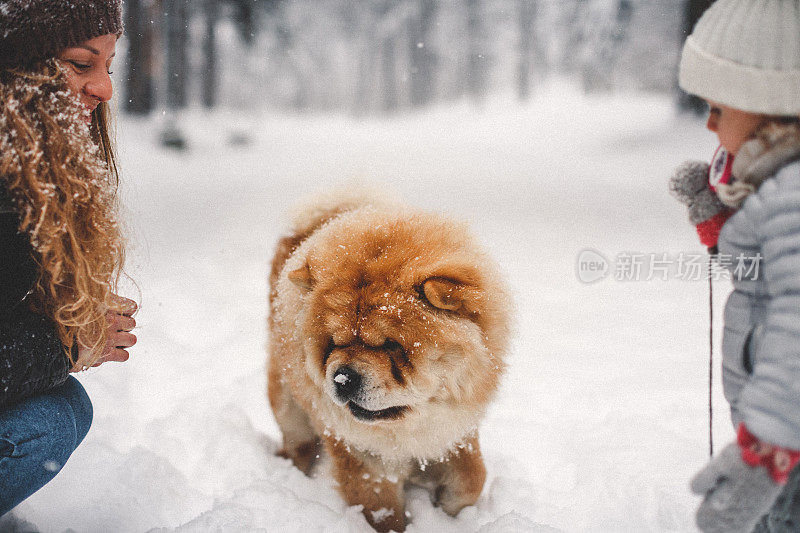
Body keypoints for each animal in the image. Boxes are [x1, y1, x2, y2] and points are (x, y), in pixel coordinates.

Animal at [266, 189, 510, 528]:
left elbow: (471, 479)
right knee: (296, 440)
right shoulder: (364, 457)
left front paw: (450, 510)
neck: (408, 430)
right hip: (287, 400)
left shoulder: (454, 430)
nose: (342, 378)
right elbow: (383, 511)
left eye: (391, 345)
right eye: (334, 343)